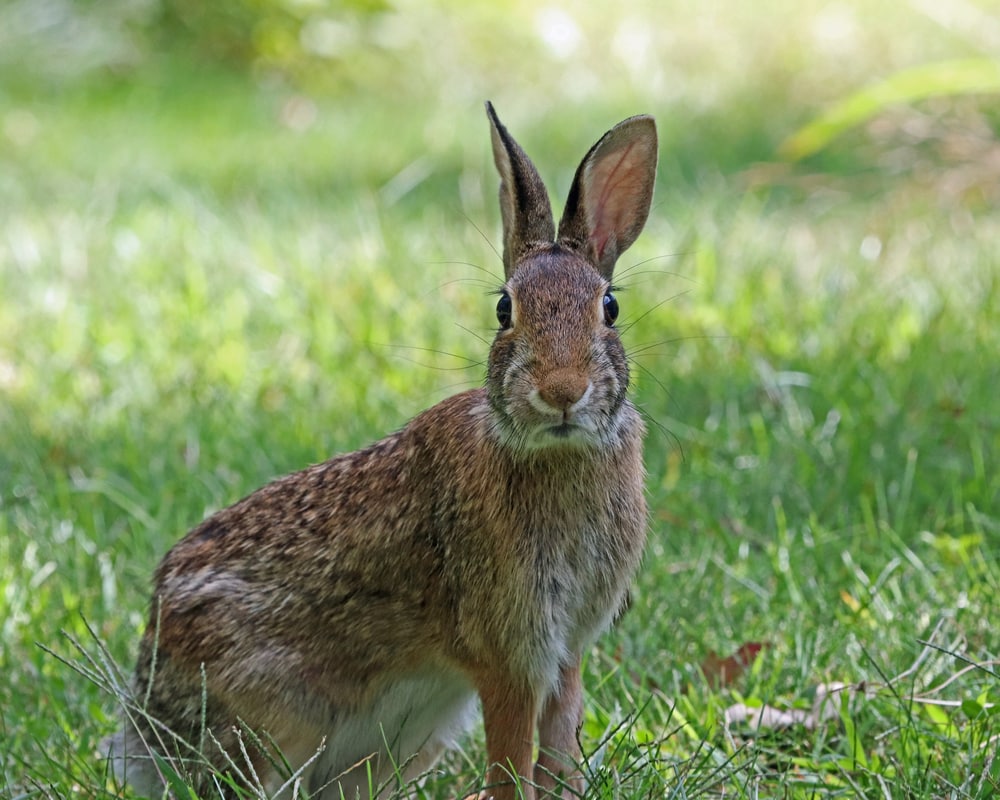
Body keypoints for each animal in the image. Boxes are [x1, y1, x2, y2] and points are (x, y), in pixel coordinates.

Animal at [107, 101, 656, 800]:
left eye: (608, 308)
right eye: (504, 310)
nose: (562, 391)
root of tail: (148, 725)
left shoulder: (564, 655)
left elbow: (558, 755)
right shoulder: (508, 655)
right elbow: (511, 763)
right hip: (271, 731)